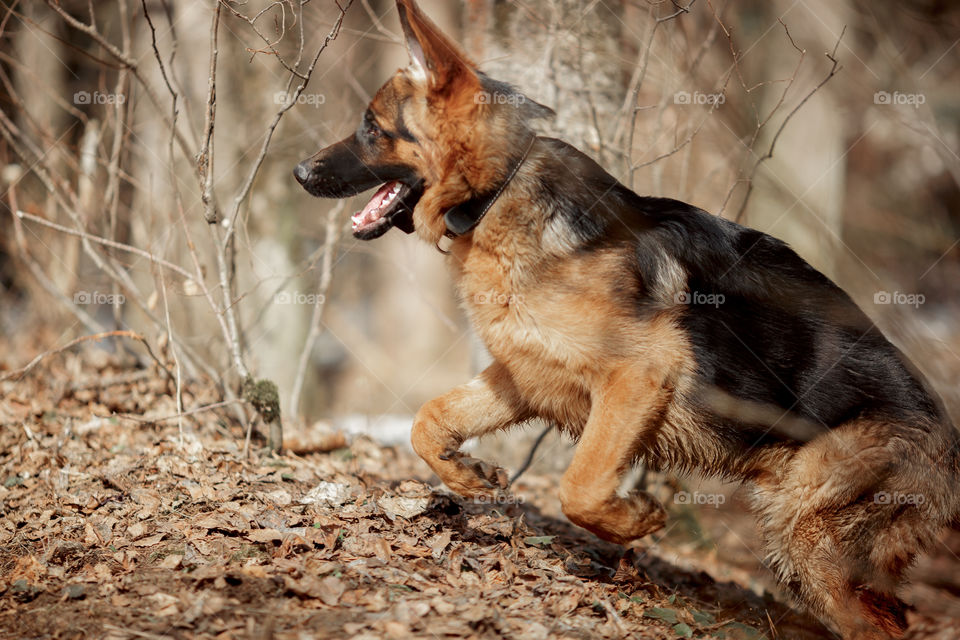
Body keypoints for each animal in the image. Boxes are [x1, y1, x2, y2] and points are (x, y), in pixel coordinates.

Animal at [292, 2, 960, 636]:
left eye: (371, 128)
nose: (299, 172)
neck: (498, 190)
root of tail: (948, 443)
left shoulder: (635, 378)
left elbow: (580, 486)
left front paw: (634, 520)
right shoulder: (525, 376)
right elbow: (427, 420)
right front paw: (468, 476)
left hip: (806, 538)